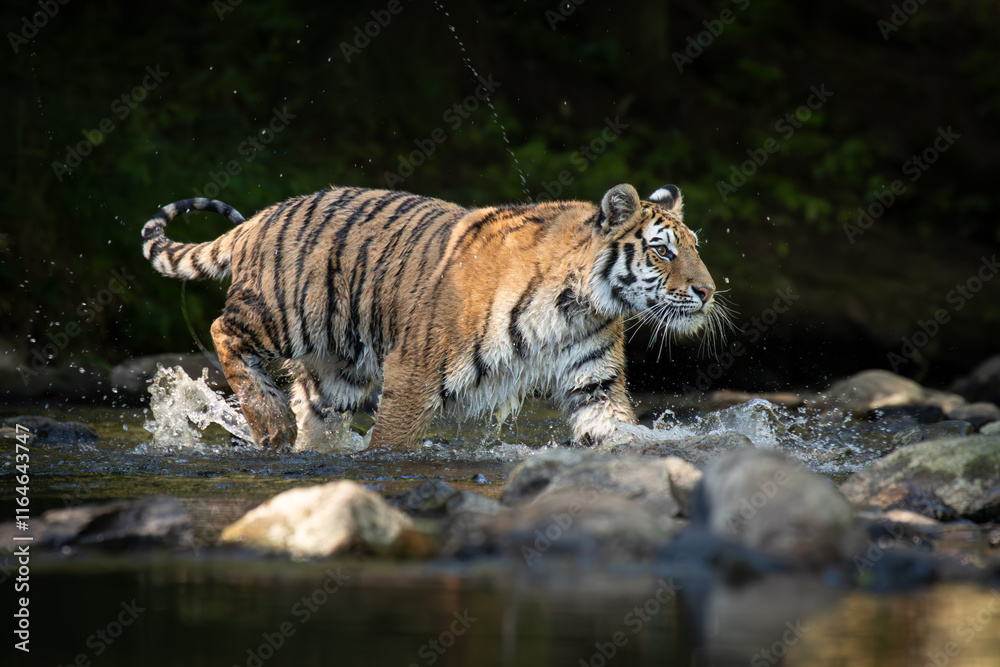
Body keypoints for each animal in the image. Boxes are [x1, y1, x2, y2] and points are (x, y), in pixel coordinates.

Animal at [141, 183, 725, 452]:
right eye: (663, 251)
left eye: (695, 247)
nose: (708, 292)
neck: (577, 306)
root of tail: (262, 217)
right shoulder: (415, 369)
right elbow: (392, 439)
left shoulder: (594, 385)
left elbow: (618, 431)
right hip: (285, 313)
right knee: (223, 330)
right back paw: (269, 421)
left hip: (338, 371)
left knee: (315, 410)